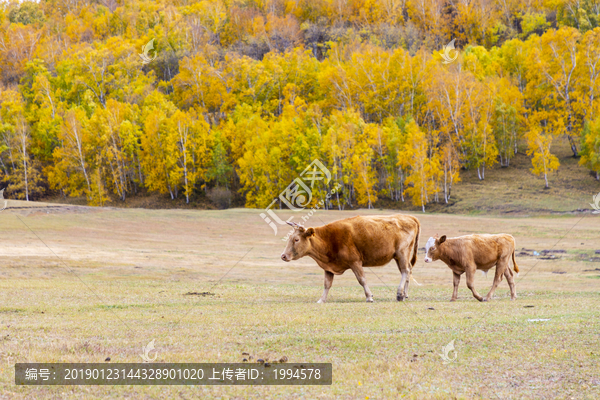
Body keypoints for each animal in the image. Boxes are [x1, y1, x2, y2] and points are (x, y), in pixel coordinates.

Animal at [280, 214, 418, 302]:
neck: (328, 239)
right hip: (399, 257)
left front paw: (369, 297)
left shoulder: (355, 262)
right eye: (290, 238)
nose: (283, 256)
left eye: (296, 239)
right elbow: (327, 284)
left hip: (402, 253)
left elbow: (362, 279)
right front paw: (322, 299)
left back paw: (399, 294)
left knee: (405, 271)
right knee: (407, 271)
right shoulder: (328, 267)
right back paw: (404, 295)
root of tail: (410, 217)